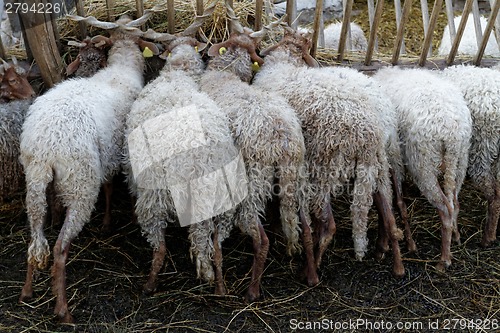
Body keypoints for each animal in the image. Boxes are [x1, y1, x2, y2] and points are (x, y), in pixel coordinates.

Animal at [18, 12, 158, 322]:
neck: (121, 69)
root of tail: (47, 147)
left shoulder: (104, 155)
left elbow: (107, 188)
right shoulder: (116, 155)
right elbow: (110, 189)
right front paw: (112, 222)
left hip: (34, 182)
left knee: (34, 241)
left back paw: (27, 292)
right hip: (80, 183)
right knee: (59, 248)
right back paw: (63, 310)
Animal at [200, 26, 312, 286]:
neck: (225, 75)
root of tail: (282, 140)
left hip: (254, 177)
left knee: (257, 231)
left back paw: (252, 288)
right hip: (296, 172)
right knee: (296, 219)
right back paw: (299, 256)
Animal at [252, 26, 404, 280]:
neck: (285, 62)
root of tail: (367, 135)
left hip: (325, 168)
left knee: (329, 224)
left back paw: (310, 269)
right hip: (377, 166)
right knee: (388, 211)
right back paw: (394, 261)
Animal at [376, 66, 472, 272]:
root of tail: (451, 133)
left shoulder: (394, 156)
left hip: (423, 165)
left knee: (445, 209)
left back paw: (443, 260)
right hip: (460, 162)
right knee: (455, 202)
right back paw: (455, 237)